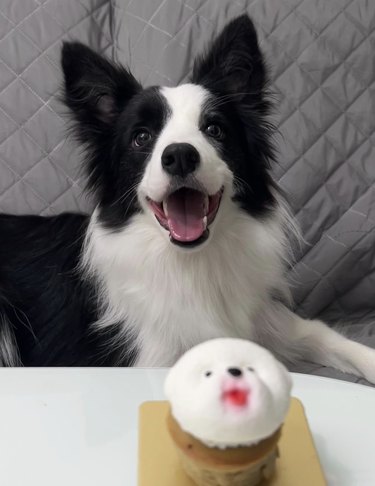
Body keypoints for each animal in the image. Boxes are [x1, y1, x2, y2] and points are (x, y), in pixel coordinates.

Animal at [0, 14, 375, 380]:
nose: (180, 155)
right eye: (141, 137)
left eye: (215, 129)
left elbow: (328, 336)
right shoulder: (153, 359)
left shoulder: (273, 320)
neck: (192, 263)